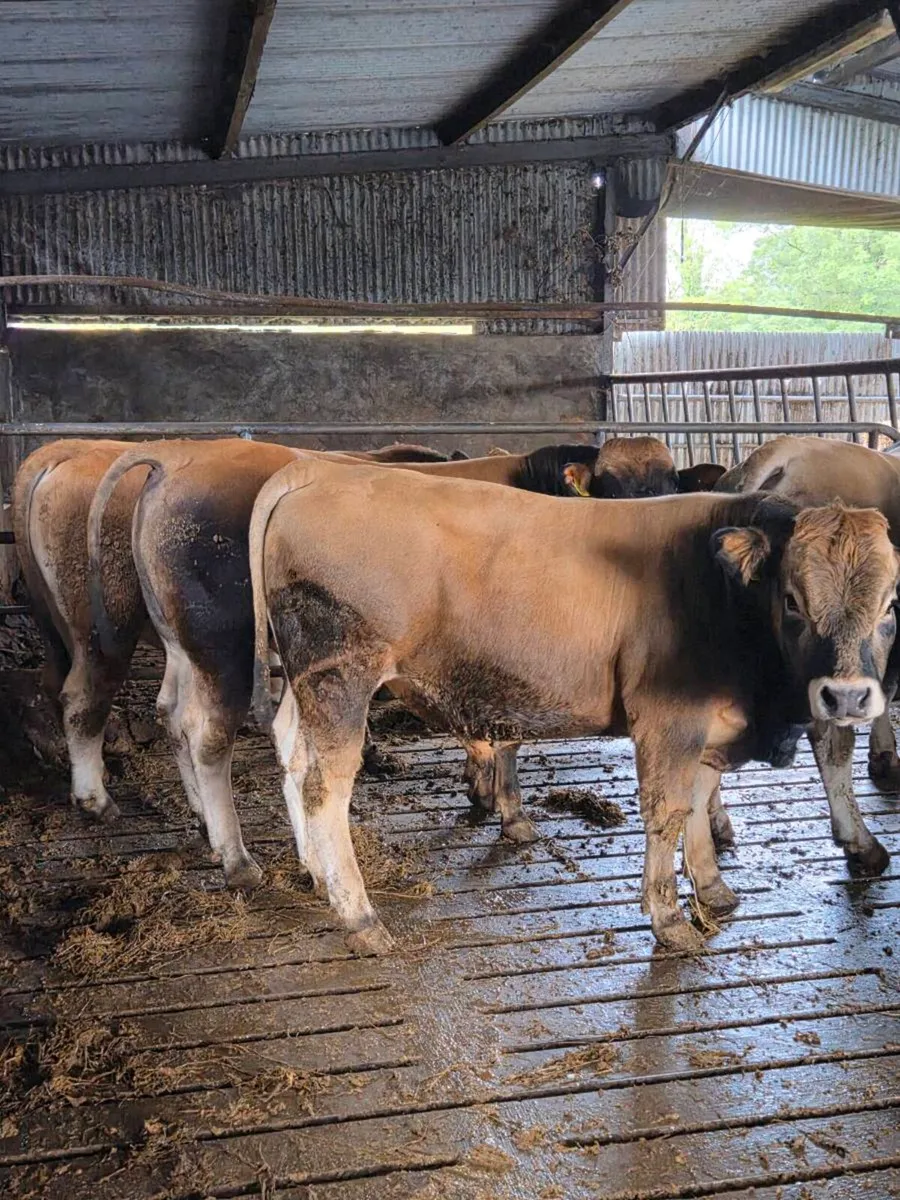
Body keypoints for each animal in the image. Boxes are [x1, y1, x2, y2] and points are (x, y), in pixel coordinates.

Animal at [249, 455, 899, 955]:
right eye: (792, 599)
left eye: (891, 602)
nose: (845, 695)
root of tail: (321, 471)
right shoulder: (668, 717)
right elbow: (667, 811)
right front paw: (669, 919)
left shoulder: (711, 724)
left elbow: (697, 801)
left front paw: (714, 890)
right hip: (341, 678)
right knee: (326, 787)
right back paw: (361, 919)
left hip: (306, 685)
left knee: (294, 759)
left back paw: (315, 875)